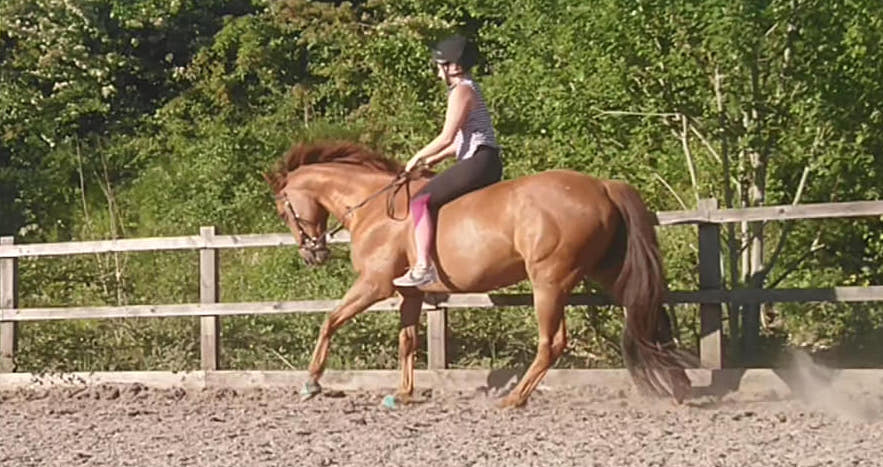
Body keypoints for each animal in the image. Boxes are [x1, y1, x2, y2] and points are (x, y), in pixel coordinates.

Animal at [264, 141, 696, 408]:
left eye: (284, 210)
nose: (313, 253)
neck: (374, 208)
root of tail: (603, 186)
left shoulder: (374, 285)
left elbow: (330, 320)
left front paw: (311, 382)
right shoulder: (410, 294)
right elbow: (407, 341)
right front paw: (402, 394)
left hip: (549, 281)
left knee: (552, 342)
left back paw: (514, 399)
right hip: (609, 271)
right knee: (649, 315)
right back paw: (680, 388)